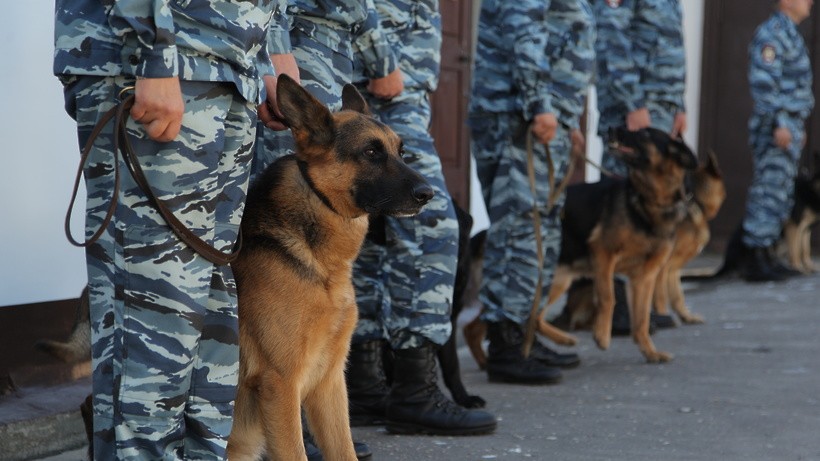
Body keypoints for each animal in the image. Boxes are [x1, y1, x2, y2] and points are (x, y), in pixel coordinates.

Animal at [224, 76, 430, 460]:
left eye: (400, 150)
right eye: (371, 152)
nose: (429, 194)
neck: (322, 266)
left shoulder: (330, 383)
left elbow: (344, 450)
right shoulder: (281, 385)